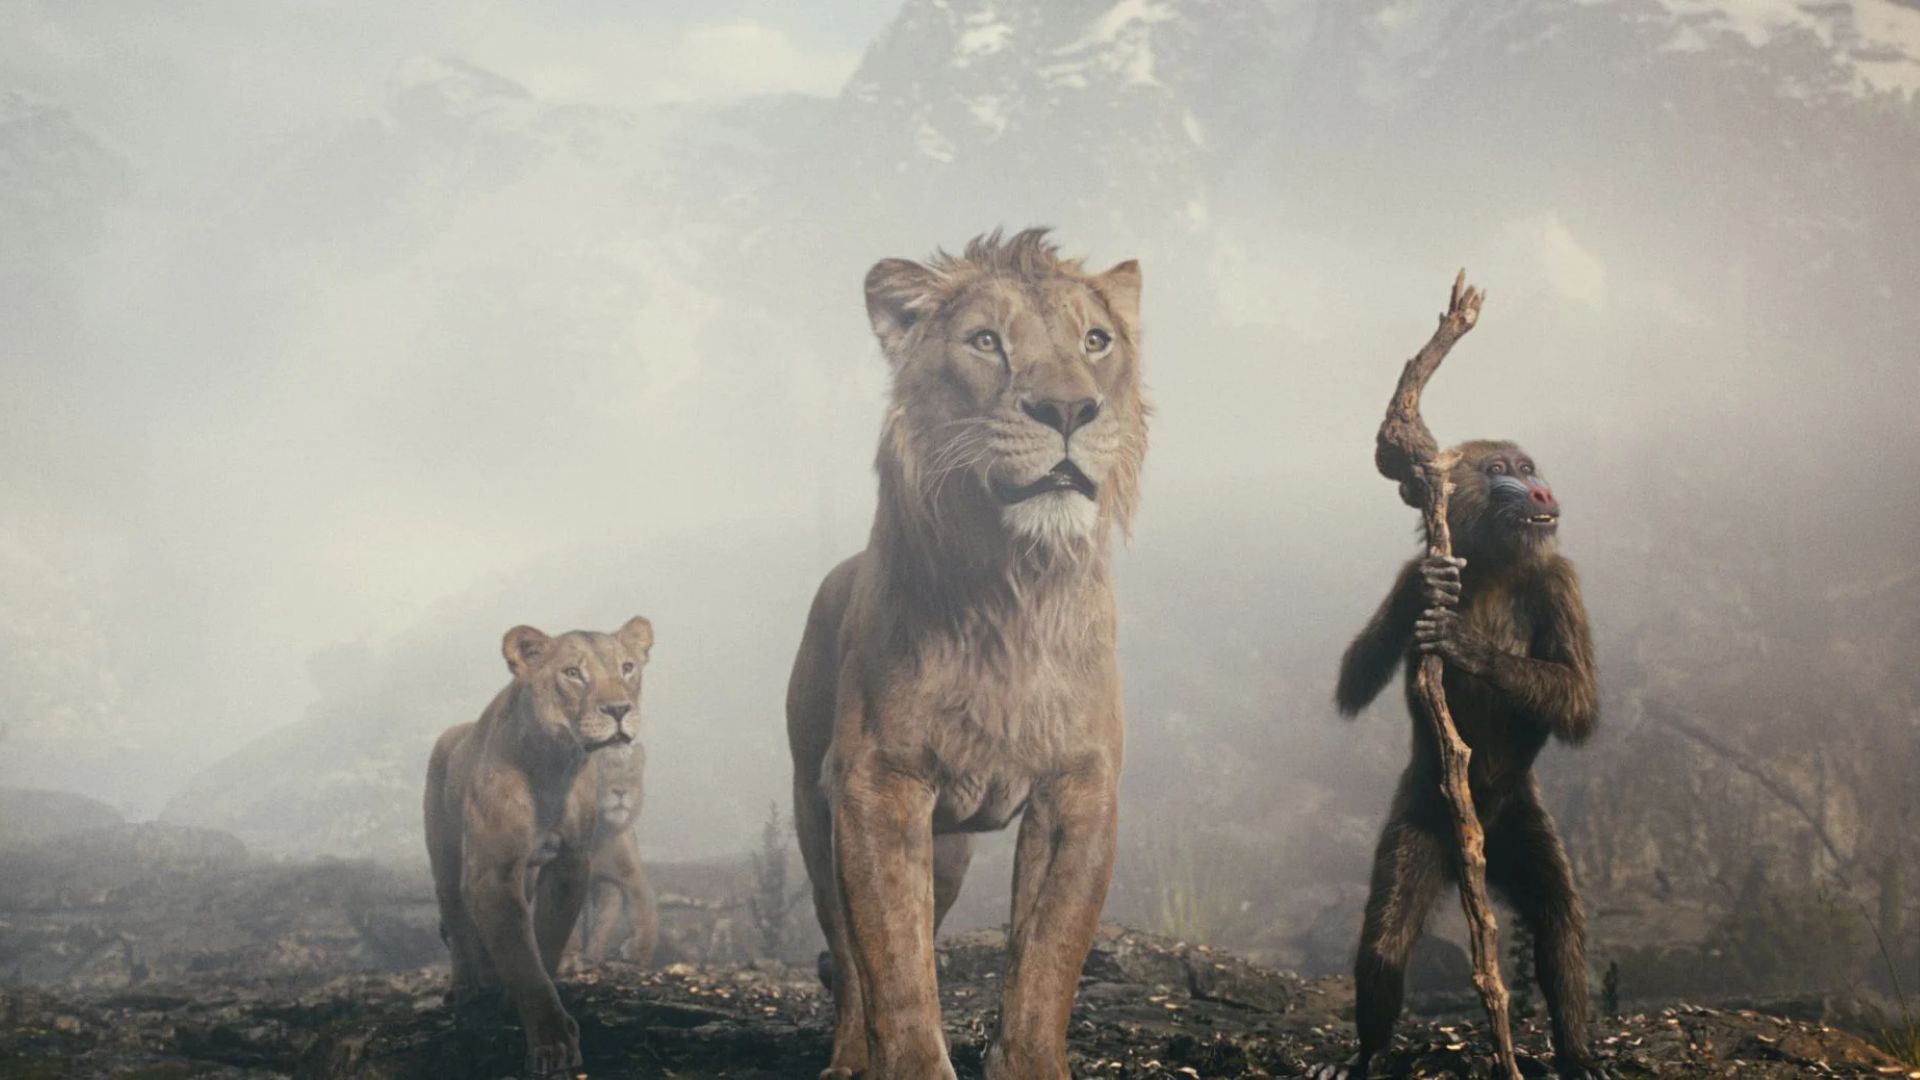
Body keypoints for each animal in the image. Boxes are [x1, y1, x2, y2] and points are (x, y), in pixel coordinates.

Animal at [424, 615, 654, 1079]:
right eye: (573, 673)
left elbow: (544, 940)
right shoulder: (492, 872)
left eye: (627, 668)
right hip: (445, 859)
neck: (554, 764)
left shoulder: (570, 864)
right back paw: (467, 989)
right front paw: (552, 1044)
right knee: (457, 921)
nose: (618, 710)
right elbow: (520, 957)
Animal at [787, 228, 1148, 1080]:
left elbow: (1048, 959)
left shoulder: (1080, 788)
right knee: (847, 956)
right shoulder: (877, 785)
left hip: (947, 851)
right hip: (816, 812)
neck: (1014, 589)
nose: (1067, 409)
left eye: (1097, 341)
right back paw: (848, 1058)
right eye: (986, 342)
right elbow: (895, 966)